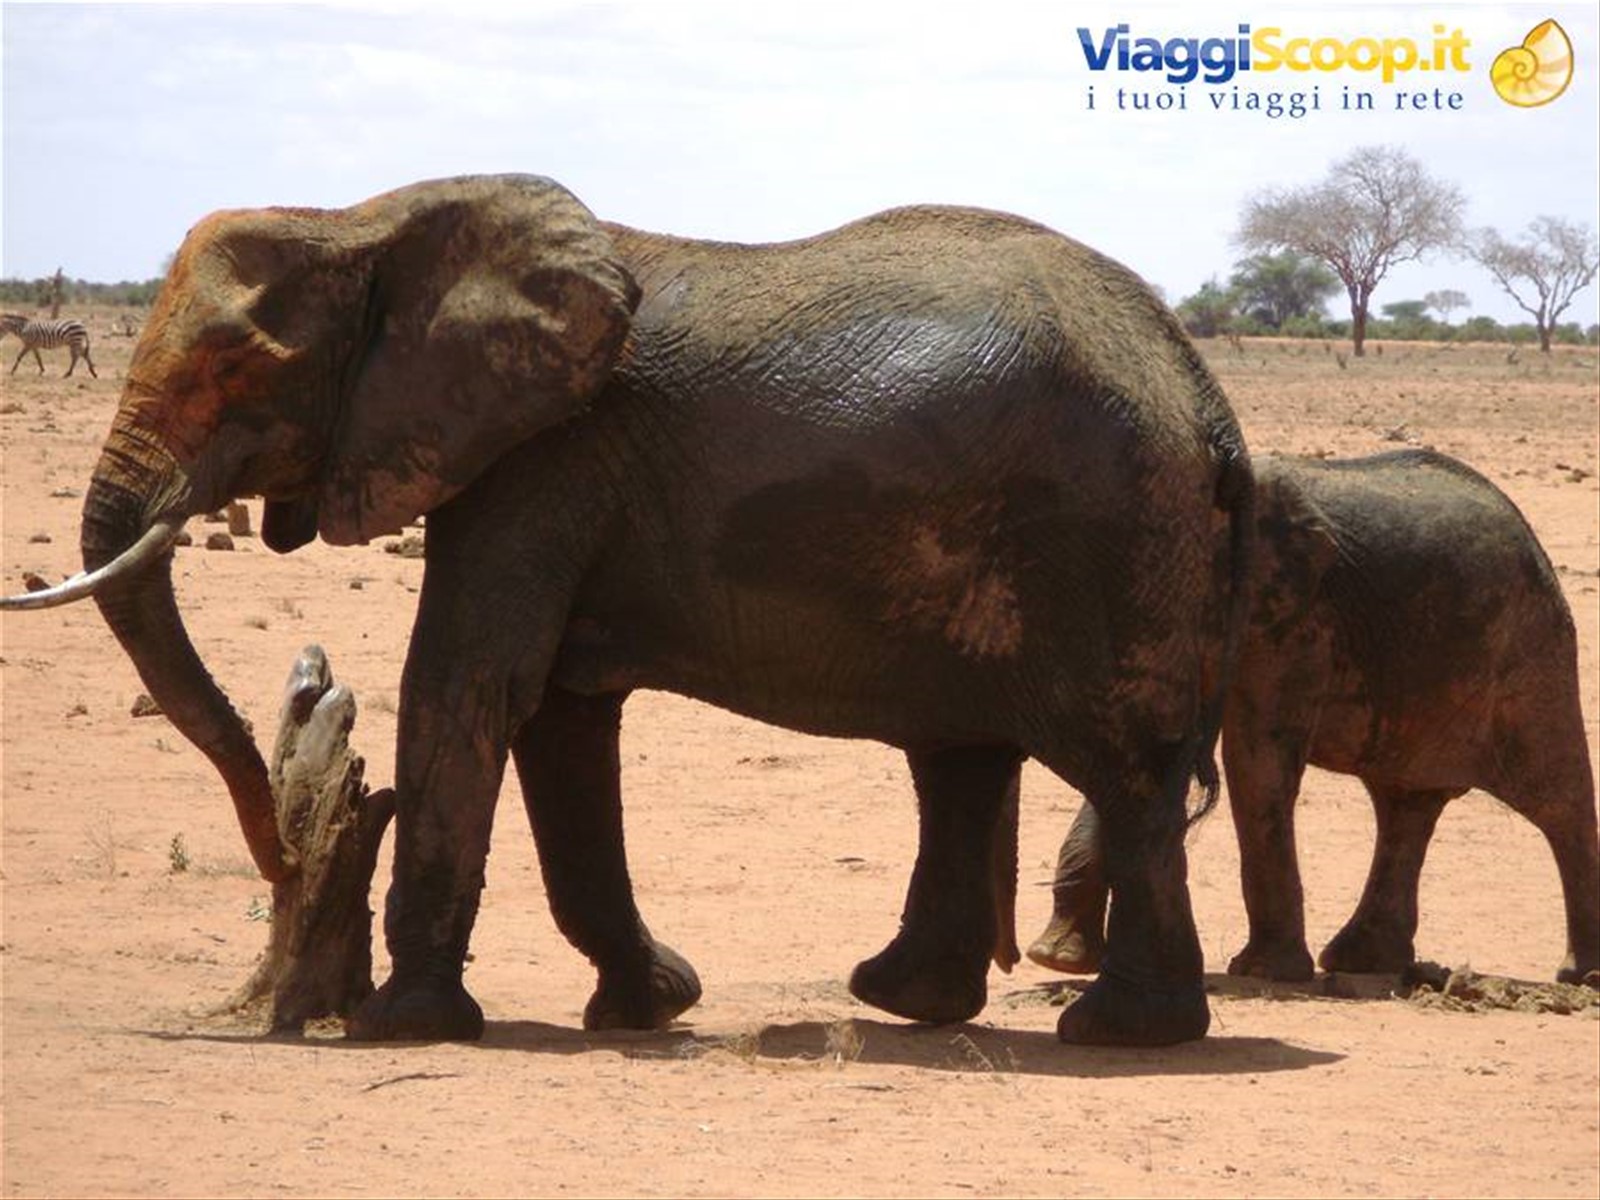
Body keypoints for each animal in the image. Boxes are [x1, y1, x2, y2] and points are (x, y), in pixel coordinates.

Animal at [2, 174, 1253, 1046]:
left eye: (234, 370)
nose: (280, 854)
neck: (368, 219)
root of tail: (1207, 401)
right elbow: (556, 716)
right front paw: (651, 1005)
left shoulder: (536, 460)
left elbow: (468, 680)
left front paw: (403, 1025)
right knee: (963, 758)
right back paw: (907, 999)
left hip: (1105, 540)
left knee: (1124, 776)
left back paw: (1117, 1032)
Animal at [1026, 450, 1599, 986]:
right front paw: (1056, 960)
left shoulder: (1287, 618)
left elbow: (1256, 758)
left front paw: (1263, 972)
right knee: (1405, 804)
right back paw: (1362, 963)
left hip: (1531, 651)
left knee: (1558, 800)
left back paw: (1580, 976)